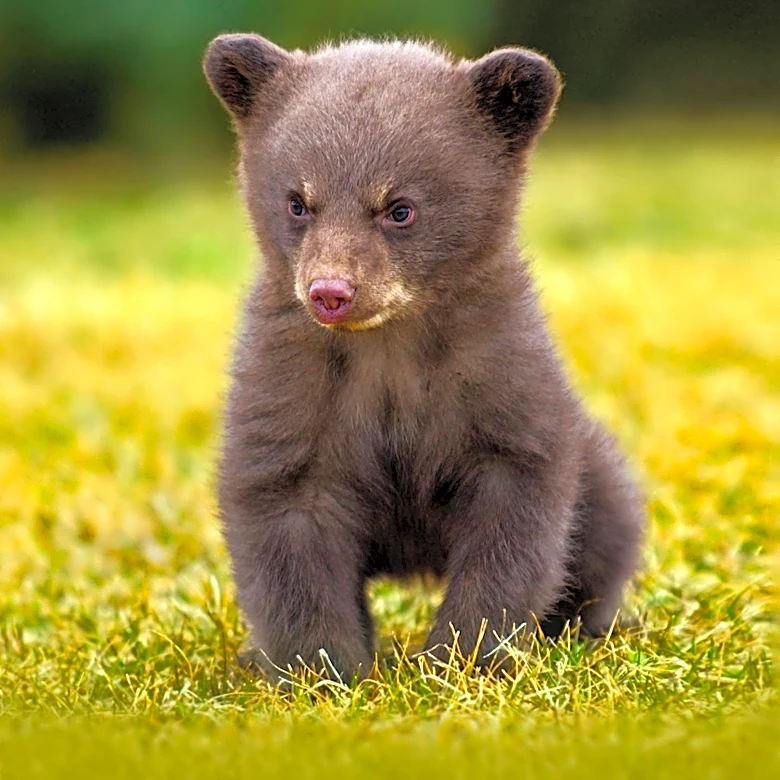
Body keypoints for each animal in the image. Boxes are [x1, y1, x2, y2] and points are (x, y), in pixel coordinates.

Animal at [203, 33, 645, 681]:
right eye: (297, 202)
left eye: (399, 207)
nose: (331, 292)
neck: (388, 343)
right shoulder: (292, 384)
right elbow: (287, 517)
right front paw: (327, 669)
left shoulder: (500, 376)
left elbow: (515, 517)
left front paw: (463, 657)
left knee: (606, 528)